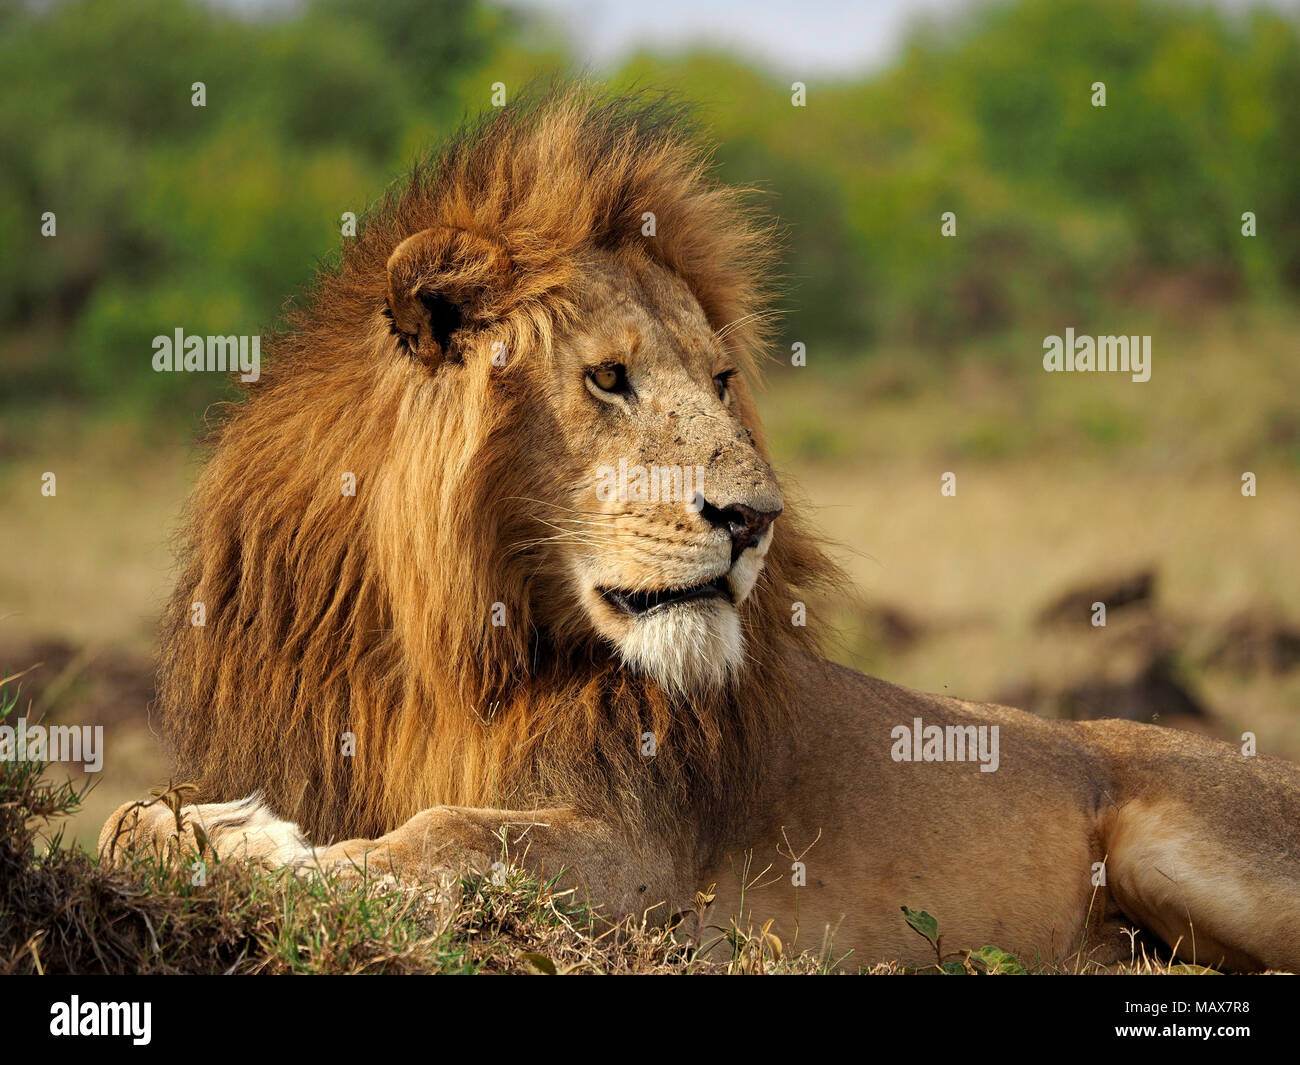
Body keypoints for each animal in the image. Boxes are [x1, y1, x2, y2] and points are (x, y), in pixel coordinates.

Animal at [104, 89, 1300, 972]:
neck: (458, 645)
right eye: (608, 379)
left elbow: (454, 835)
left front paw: (262, 848)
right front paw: (218, 831)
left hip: (1182, 844)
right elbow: (126, 815)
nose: (754, 519)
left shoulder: (643, 862)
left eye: (722, 381)